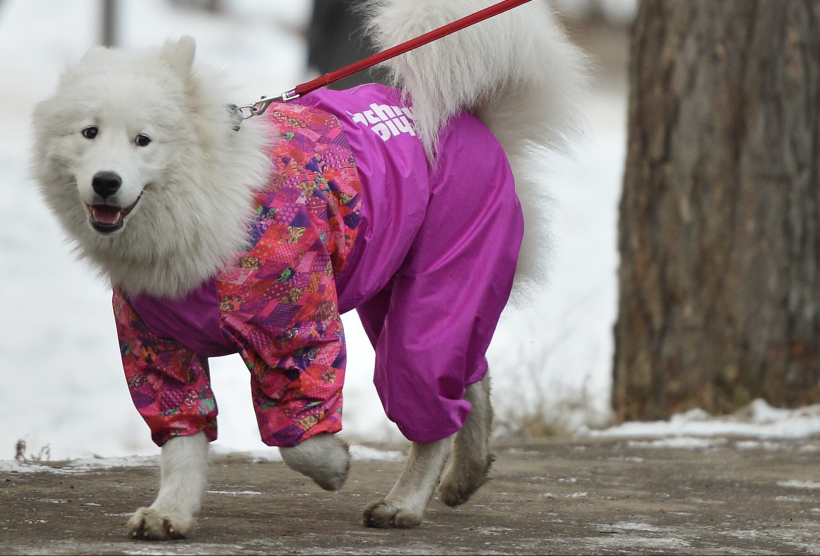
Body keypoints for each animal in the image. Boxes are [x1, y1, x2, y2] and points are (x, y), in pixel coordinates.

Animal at [30, 0, 584, 540]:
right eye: (89, 132)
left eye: (143, 140)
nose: (105, 182)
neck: (208, 205)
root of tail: (474, 122)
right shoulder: (157, 349)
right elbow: (182, 437)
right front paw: (171, 512)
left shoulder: (298, 332)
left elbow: (298, 439)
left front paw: (335, 465)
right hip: (395, 296)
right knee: (469, 379)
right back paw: (467, 473)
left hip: (436, 292)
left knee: (432, 402)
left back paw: (404, 502)